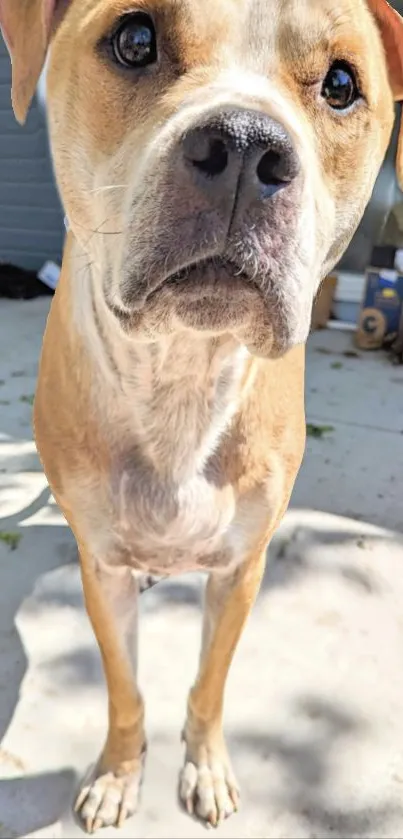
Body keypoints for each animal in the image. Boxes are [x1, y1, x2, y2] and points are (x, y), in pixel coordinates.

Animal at [0, 0, 403, 832]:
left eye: (340, 84)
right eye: (134, 38)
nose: (246, 148)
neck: (180, 374)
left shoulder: (240, 569)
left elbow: (209, 685)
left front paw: (207, 764)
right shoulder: (103, 569)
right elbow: (124, 687)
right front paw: (120, 772)